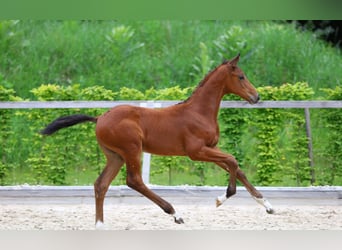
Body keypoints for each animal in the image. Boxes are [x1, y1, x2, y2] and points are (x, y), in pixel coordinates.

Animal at [41, 53, 274, 228]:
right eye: (241, 77)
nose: (257, 97)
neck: (199, 112)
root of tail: (99, 118)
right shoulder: (196, 151)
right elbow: (233, 161)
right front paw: (221, 198)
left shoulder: (210, 148)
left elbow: (236, 167)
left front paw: (267, 204)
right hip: (132, 150)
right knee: (134, 181)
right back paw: (175, 213)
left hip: (115, 156)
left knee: (101, 184)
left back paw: (100, 225)